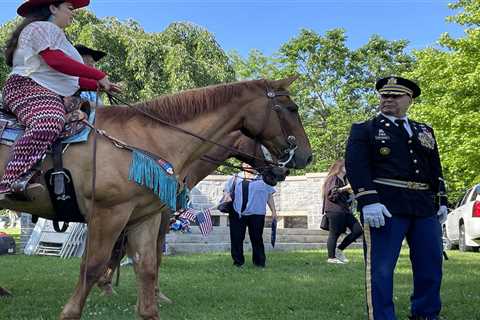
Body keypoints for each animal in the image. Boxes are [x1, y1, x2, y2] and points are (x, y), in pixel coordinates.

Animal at [0, 77, 312, 318]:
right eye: (291, 108)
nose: (307, 156)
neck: (146, 143)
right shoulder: (109, 214)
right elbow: (94, 264)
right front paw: (84, 302)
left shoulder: (144, 217)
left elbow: (147, 264)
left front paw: (147, 302)